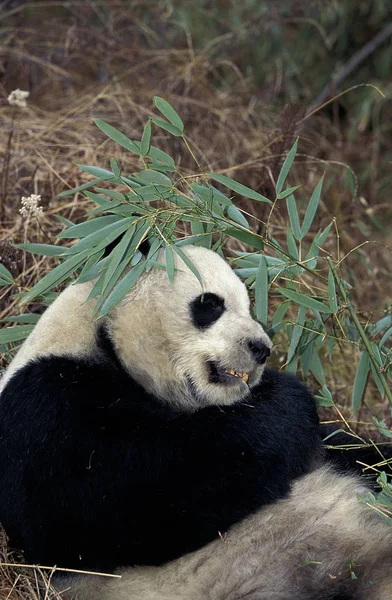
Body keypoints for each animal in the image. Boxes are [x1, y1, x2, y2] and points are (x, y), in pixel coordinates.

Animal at [0, 245, 390, 600]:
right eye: (211, 304)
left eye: (249, 306)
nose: (260, 348)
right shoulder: (47, 406)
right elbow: (126, 499)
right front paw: (289, 398)